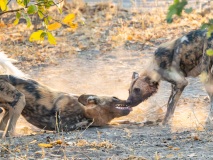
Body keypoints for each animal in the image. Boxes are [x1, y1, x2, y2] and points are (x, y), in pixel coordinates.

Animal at [0, 51, 131, 138]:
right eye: (115, 98)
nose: (129, 101)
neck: (86, 111)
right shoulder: (62, 126)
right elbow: (83, 124)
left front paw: (126, 122)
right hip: (20, 100)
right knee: (9, 132)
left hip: (11, 107)